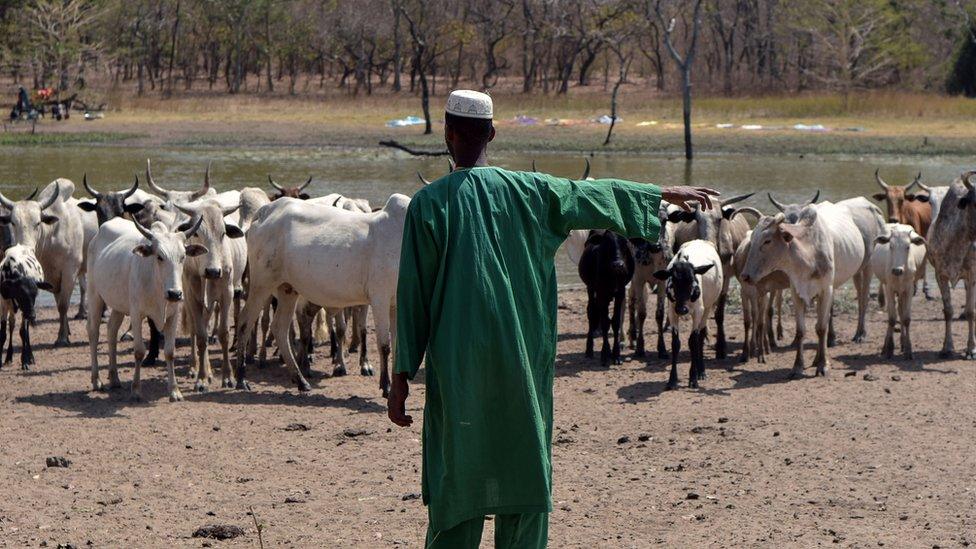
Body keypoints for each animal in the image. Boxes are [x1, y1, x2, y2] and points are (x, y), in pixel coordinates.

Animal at [86, 216, 207, 400]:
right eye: (159, 257)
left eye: (183, 257)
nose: (174, 293)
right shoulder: (136, 314)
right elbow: (139, 352)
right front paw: (136, 390)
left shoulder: (173, 316)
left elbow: (170, 352)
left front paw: (175, 391)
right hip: (94, 295)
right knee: (94, 333)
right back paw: (96, 380)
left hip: (119, 304)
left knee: (112, 330)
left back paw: (114, 378)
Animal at [238, 193, 410, 394]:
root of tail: (265, 211)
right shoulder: (379, 298)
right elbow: (385, 345)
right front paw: (386, 386)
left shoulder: (396, 304)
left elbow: (398, 347)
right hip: (261, 284)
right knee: (245, 322)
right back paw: (241, 379)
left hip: (288, 288)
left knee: (279, 328)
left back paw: (301, 380)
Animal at [576, 229, 636, 366]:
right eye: (606, 244)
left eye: (625, 243)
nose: (618, 265)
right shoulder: (601, 293)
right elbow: (604, 323)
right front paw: (604, 354)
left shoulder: (620, 293)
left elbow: (615, 321)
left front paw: (616, 355)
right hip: (591, 289)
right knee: (592, 313)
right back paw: (589, 350)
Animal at [652, 240, 720, 390]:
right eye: (673, 282)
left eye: (692, 281)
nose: (682, 309)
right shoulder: (672, 311)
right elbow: (676, 343)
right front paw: (672, 380)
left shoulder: (698, 311)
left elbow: (693, 341)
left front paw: (693, 378)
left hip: (707, 308)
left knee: (701, 335)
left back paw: (701, 371)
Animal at [872, 223, 928, 360]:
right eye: (891, 246)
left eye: (908, 247)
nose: (897, 270)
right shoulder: (890, 288)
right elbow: (892, 319)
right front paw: (889, 349)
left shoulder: (909, 288)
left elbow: (906, 318)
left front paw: (908, 350)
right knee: (894, 313)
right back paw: (885, 347)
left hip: (903, 292)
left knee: (901, 311)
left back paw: (902, 342)